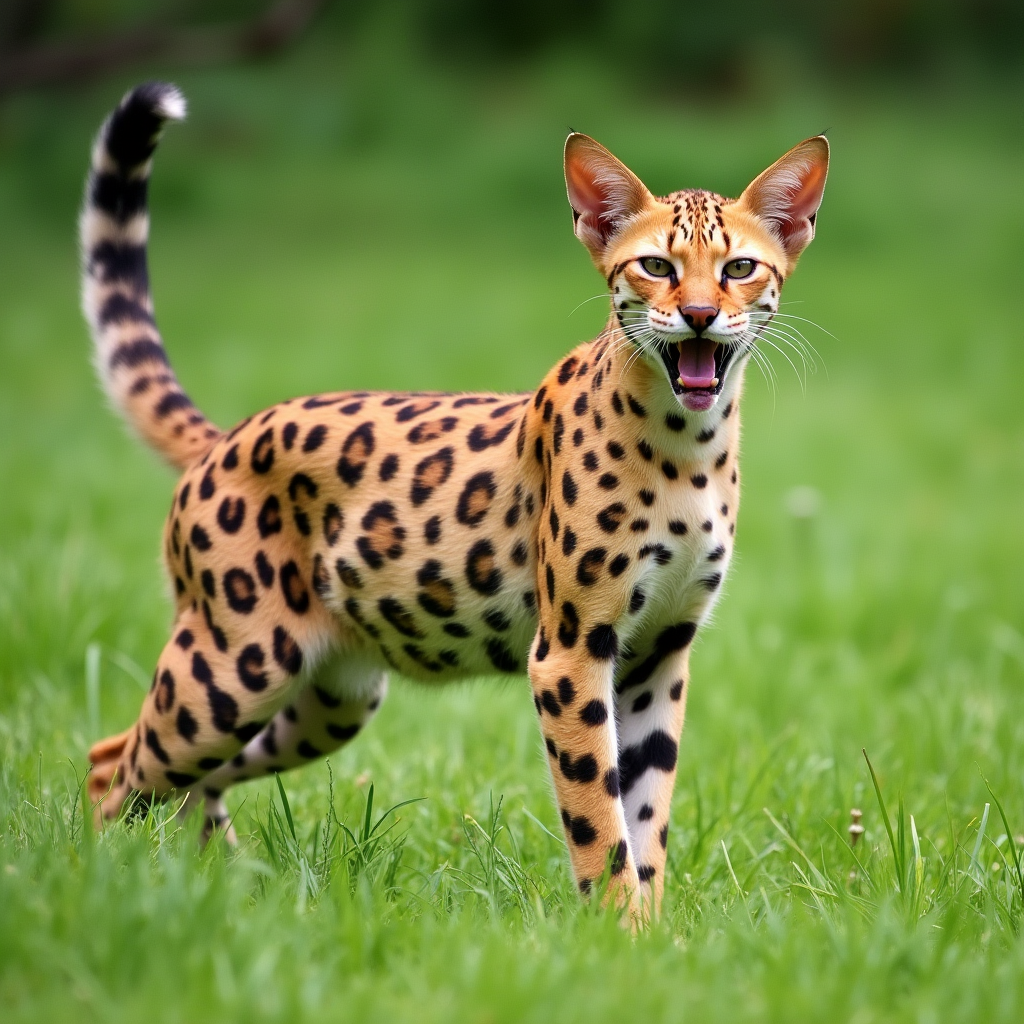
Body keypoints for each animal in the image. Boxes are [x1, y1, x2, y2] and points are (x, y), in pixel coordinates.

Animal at [83, 83, 827, 925]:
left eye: (739, 268)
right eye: (654, 266)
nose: (700, 315)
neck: (689, 446)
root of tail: (225, 437)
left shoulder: (661, 653)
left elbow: (647, 814)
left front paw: (655, 930)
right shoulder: (571, 653)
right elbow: (597, 814)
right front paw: (616, 931)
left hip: (330, 697)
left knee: (183, 776)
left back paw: (222, 883)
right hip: (230, 668)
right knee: (110, 763)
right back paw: (101, 884)